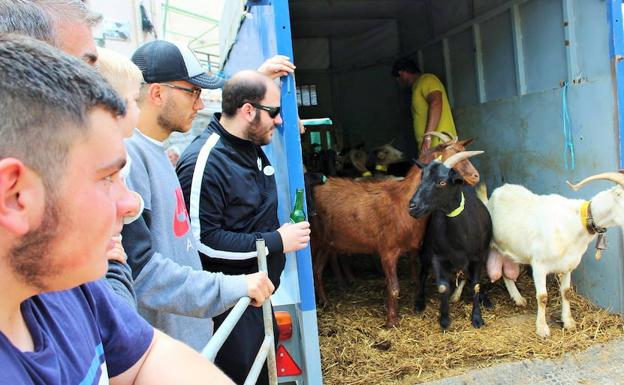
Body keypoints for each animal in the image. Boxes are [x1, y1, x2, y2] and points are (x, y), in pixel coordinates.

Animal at [310, 135, 478, 328]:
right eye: (452, 162)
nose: (476, 176)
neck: (402, 200)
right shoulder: (387, 251)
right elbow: (394, 288)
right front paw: (392, 321)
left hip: (327, 243)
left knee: (317, 270)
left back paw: (326, 302)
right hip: (314, 241)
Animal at [410, 150, 492, 328]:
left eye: (442, 182)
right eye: (421, 178)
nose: (412, 206)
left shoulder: (478, 257)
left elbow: (475, 285)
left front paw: (477, 318)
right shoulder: (437, 257)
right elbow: (443, 287)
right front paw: (444, 319)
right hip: (426, 249)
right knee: (422, 274)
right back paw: (419, 302)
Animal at [488, 171, 624, 336]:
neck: (576, 223)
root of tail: (499, 190)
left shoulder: (568, 266)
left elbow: (566, 292)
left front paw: (569, 322)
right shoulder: (539, 266)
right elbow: (542, 297)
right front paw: (542, 329)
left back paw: (518, 298)